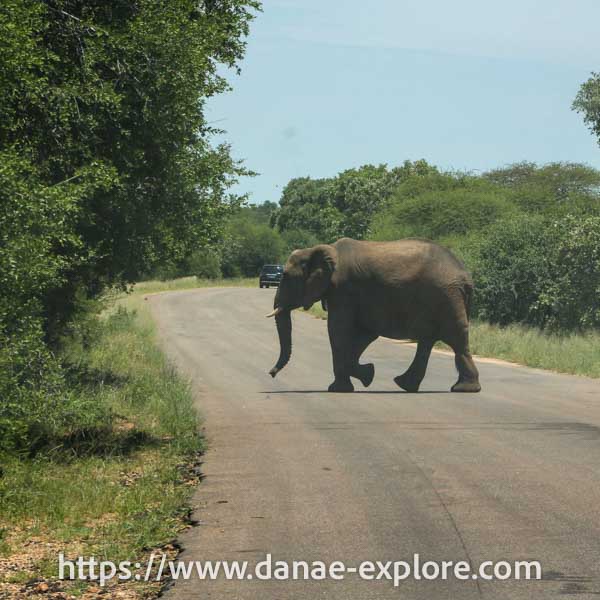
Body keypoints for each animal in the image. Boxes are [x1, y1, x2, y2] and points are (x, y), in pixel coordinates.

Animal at [268, 237, 482, 396]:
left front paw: (341, 388)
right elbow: (364, 334)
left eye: (285, 276)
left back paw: (462, 389)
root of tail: (465, 275)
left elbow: (338, 331)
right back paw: (406, 385)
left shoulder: (344, 291)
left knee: (455, 340)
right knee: (428, 341)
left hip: (446, 297)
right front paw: (367, 375)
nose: (271, 374)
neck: (320, 250)